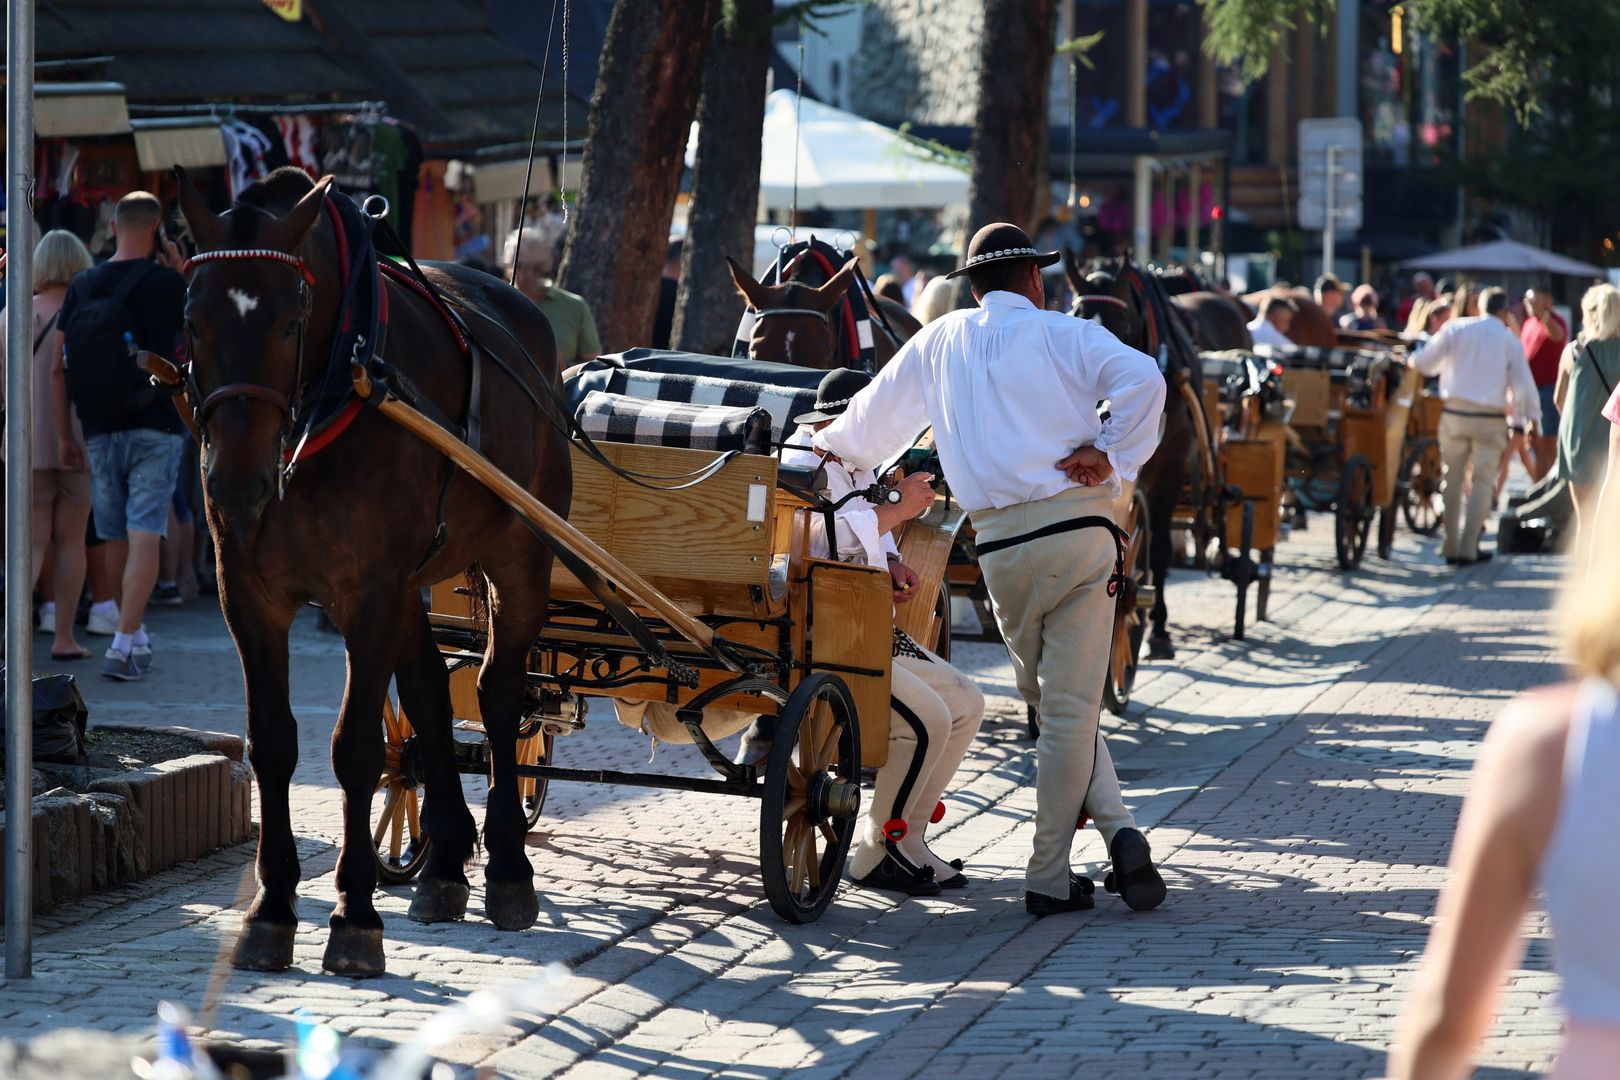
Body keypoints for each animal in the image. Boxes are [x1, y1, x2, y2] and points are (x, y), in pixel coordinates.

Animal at [175, 162, 570, 977]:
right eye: (193, 320)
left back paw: (508, 866)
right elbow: (274, 744)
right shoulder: (247, 593)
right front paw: (273, 907)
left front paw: (353, 914)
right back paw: (445, 861)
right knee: (427, 690)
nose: (236, 481)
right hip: (415, 582)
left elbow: (353, 748)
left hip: (521, 553)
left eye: (290, 321)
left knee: (498, 692)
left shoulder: (369, 594)